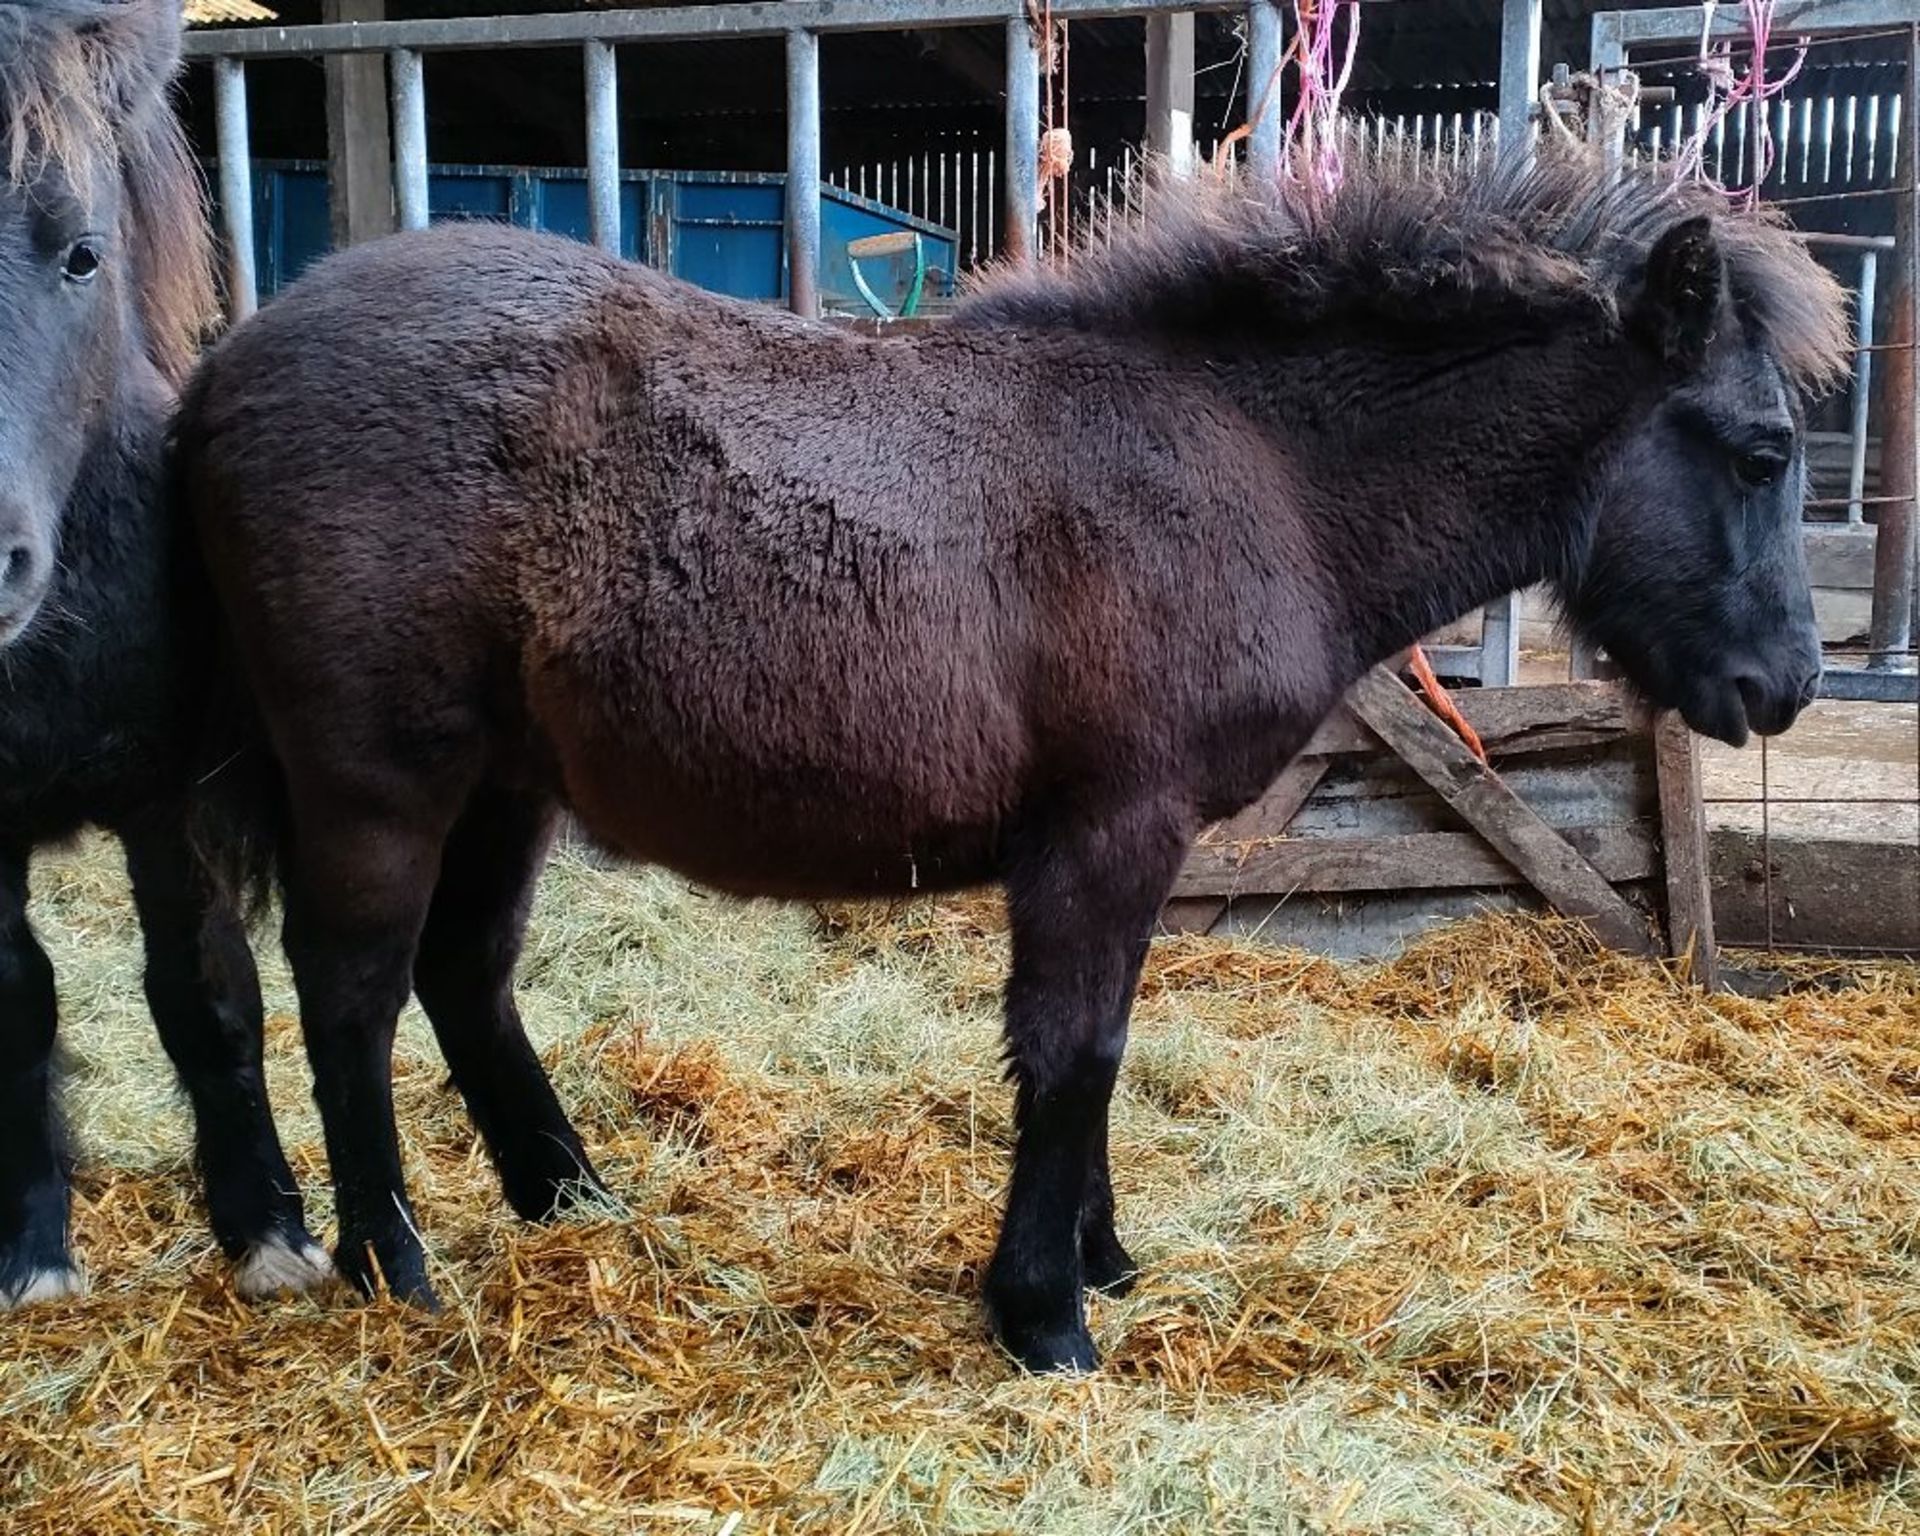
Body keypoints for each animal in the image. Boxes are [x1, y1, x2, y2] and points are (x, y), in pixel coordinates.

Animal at [180, 152, 1843, 1367]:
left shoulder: (1130, 846)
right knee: (349, 992)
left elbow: (1097, 1051)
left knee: (465, 976)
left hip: (507, 787)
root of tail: (228, 365)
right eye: (1760, 451)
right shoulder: (1107, 829)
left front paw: (1099, 1263)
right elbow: (1074, 1051)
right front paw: (1044, 1315)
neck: (1252, 466)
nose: (1788, 686)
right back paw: (392, 1262)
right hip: (381, 782)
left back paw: (572, 1201)